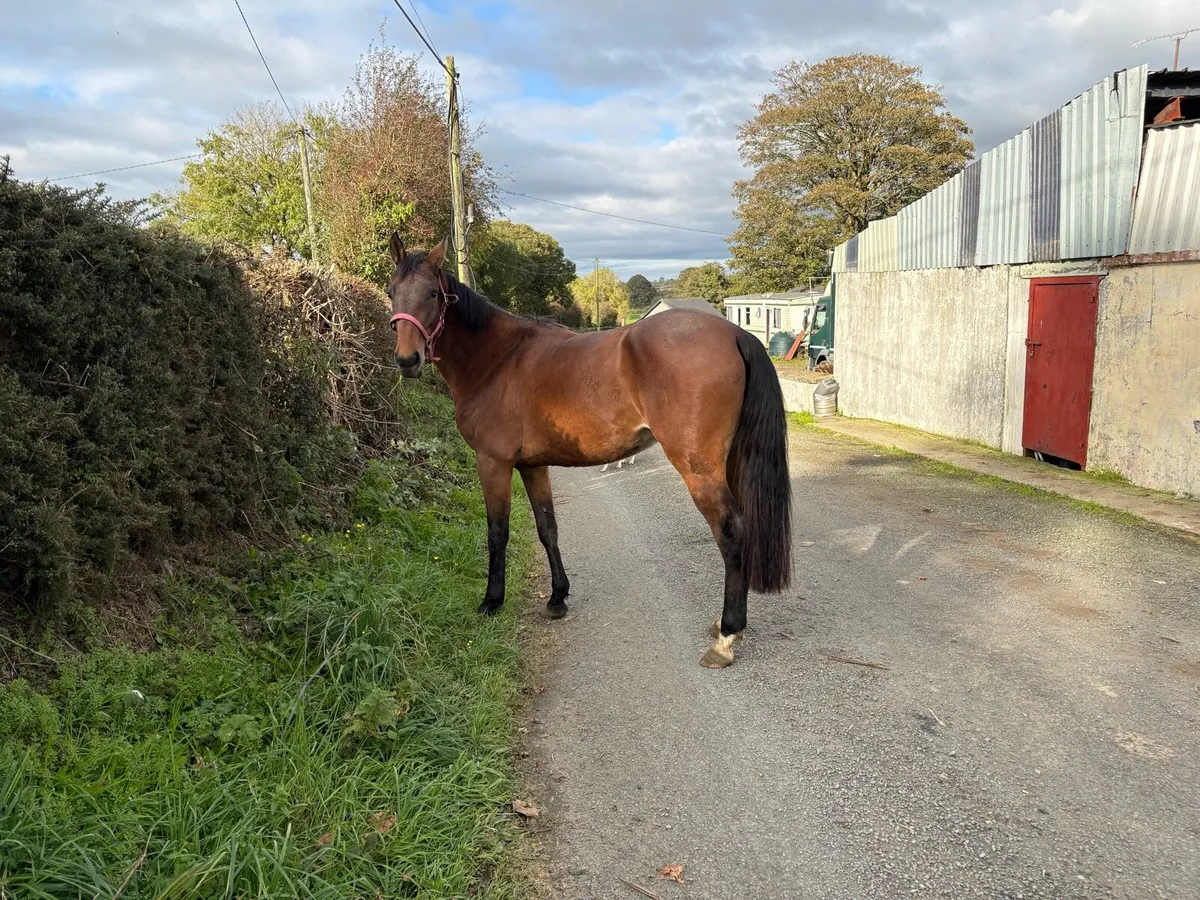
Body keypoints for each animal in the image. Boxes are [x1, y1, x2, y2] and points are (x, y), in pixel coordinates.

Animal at [386, 234, 792, 668]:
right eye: (392, 292)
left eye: (432, 293)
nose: (407, 360)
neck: (498, 358)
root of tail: (734, 333)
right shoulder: (532, 466)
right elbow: (547, 528)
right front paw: (557, 597)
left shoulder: (493, 463)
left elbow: (497, 532)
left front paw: (491, 602)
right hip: (728, 461)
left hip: (699, 469)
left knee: (731, 532)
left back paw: (727, 635)